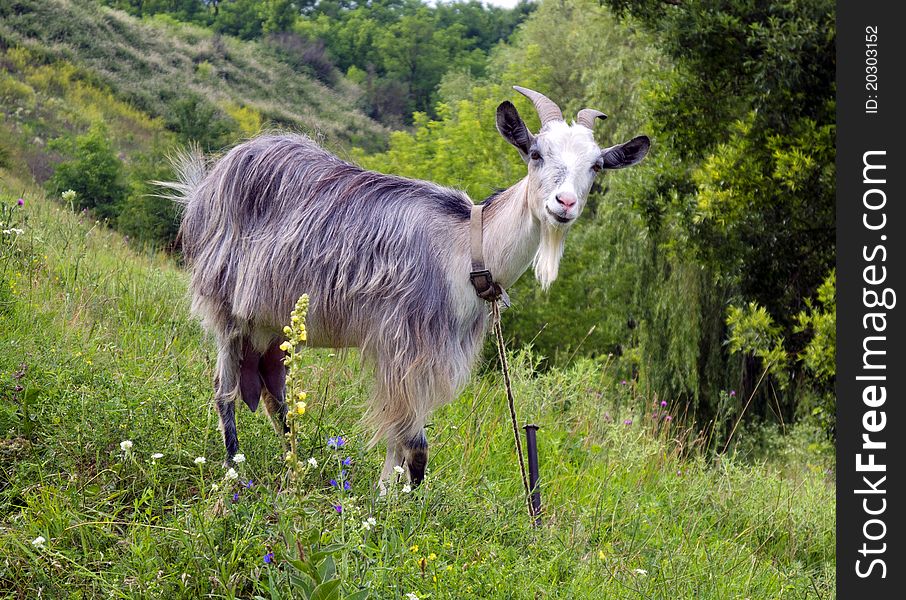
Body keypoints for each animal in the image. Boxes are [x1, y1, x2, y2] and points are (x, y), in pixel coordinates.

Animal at [170, 86, 648, 486]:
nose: (564, 204)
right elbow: (414, 448)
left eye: (597, 165)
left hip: (271, 324)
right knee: (223, 390)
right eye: (535, 153)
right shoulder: (404, 345)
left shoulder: (428, 357)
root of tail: (207, 181)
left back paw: (295, 464)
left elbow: (399, 445)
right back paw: (234, 472)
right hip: (227, 304)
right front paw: (394, 516)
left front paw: (383, 500)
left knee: (273, 393)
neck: (468, 248)